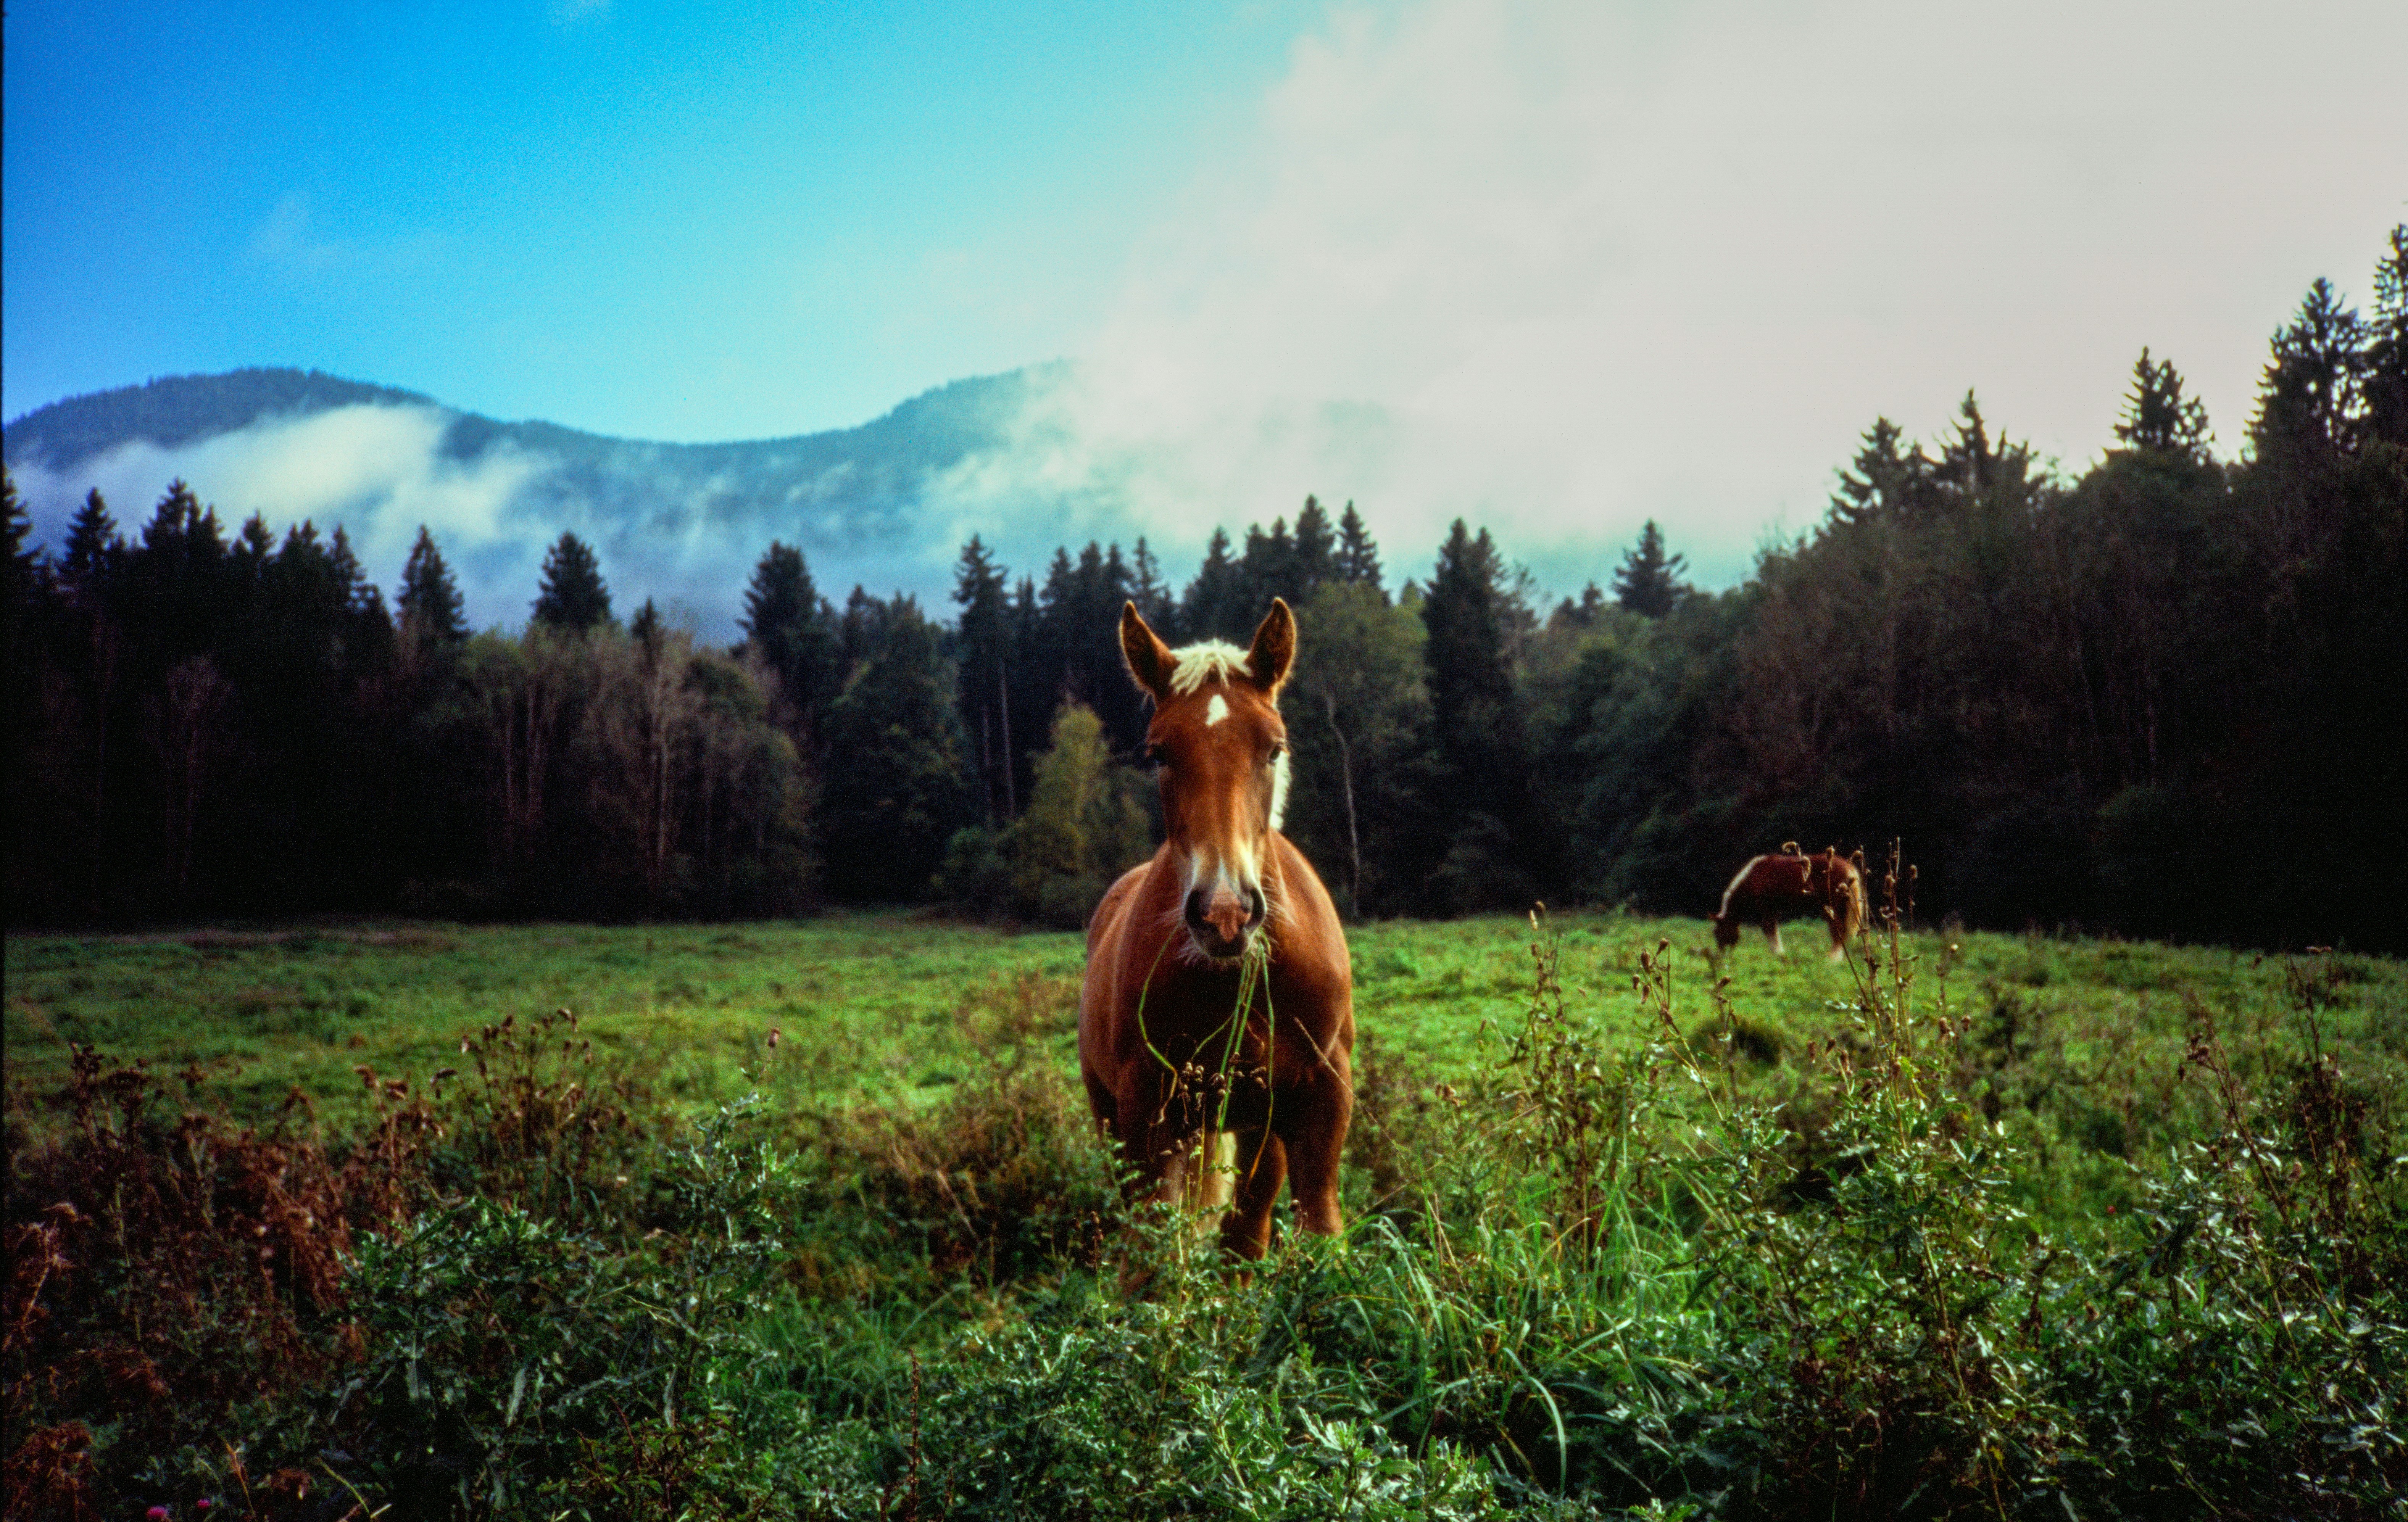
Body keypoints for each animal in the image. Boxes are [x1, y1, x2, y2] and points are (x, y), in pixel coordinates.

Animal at [1079, 597, 1355, 1259]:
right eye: (1158, 752)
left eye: (1274, 748)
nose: (1224, 913)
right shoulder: (1146, 1112)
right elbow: (1148, 1258)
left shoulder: (1323, 1098)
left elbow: (1319, 1230)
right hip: (1118, 1119)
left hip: (1257, 1128)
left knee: (1245, 1234)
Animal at [1710, 845, 1865, 959]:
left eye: (1717, 932)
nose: (1721, 956)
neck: (1753, 877)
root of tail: (1848, 868)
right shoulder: (1774, 910)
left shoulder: (1766, 909)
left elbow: (1770, 930)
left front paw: (1778, 953)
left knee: (1838, 930)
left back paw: (1832, 960)